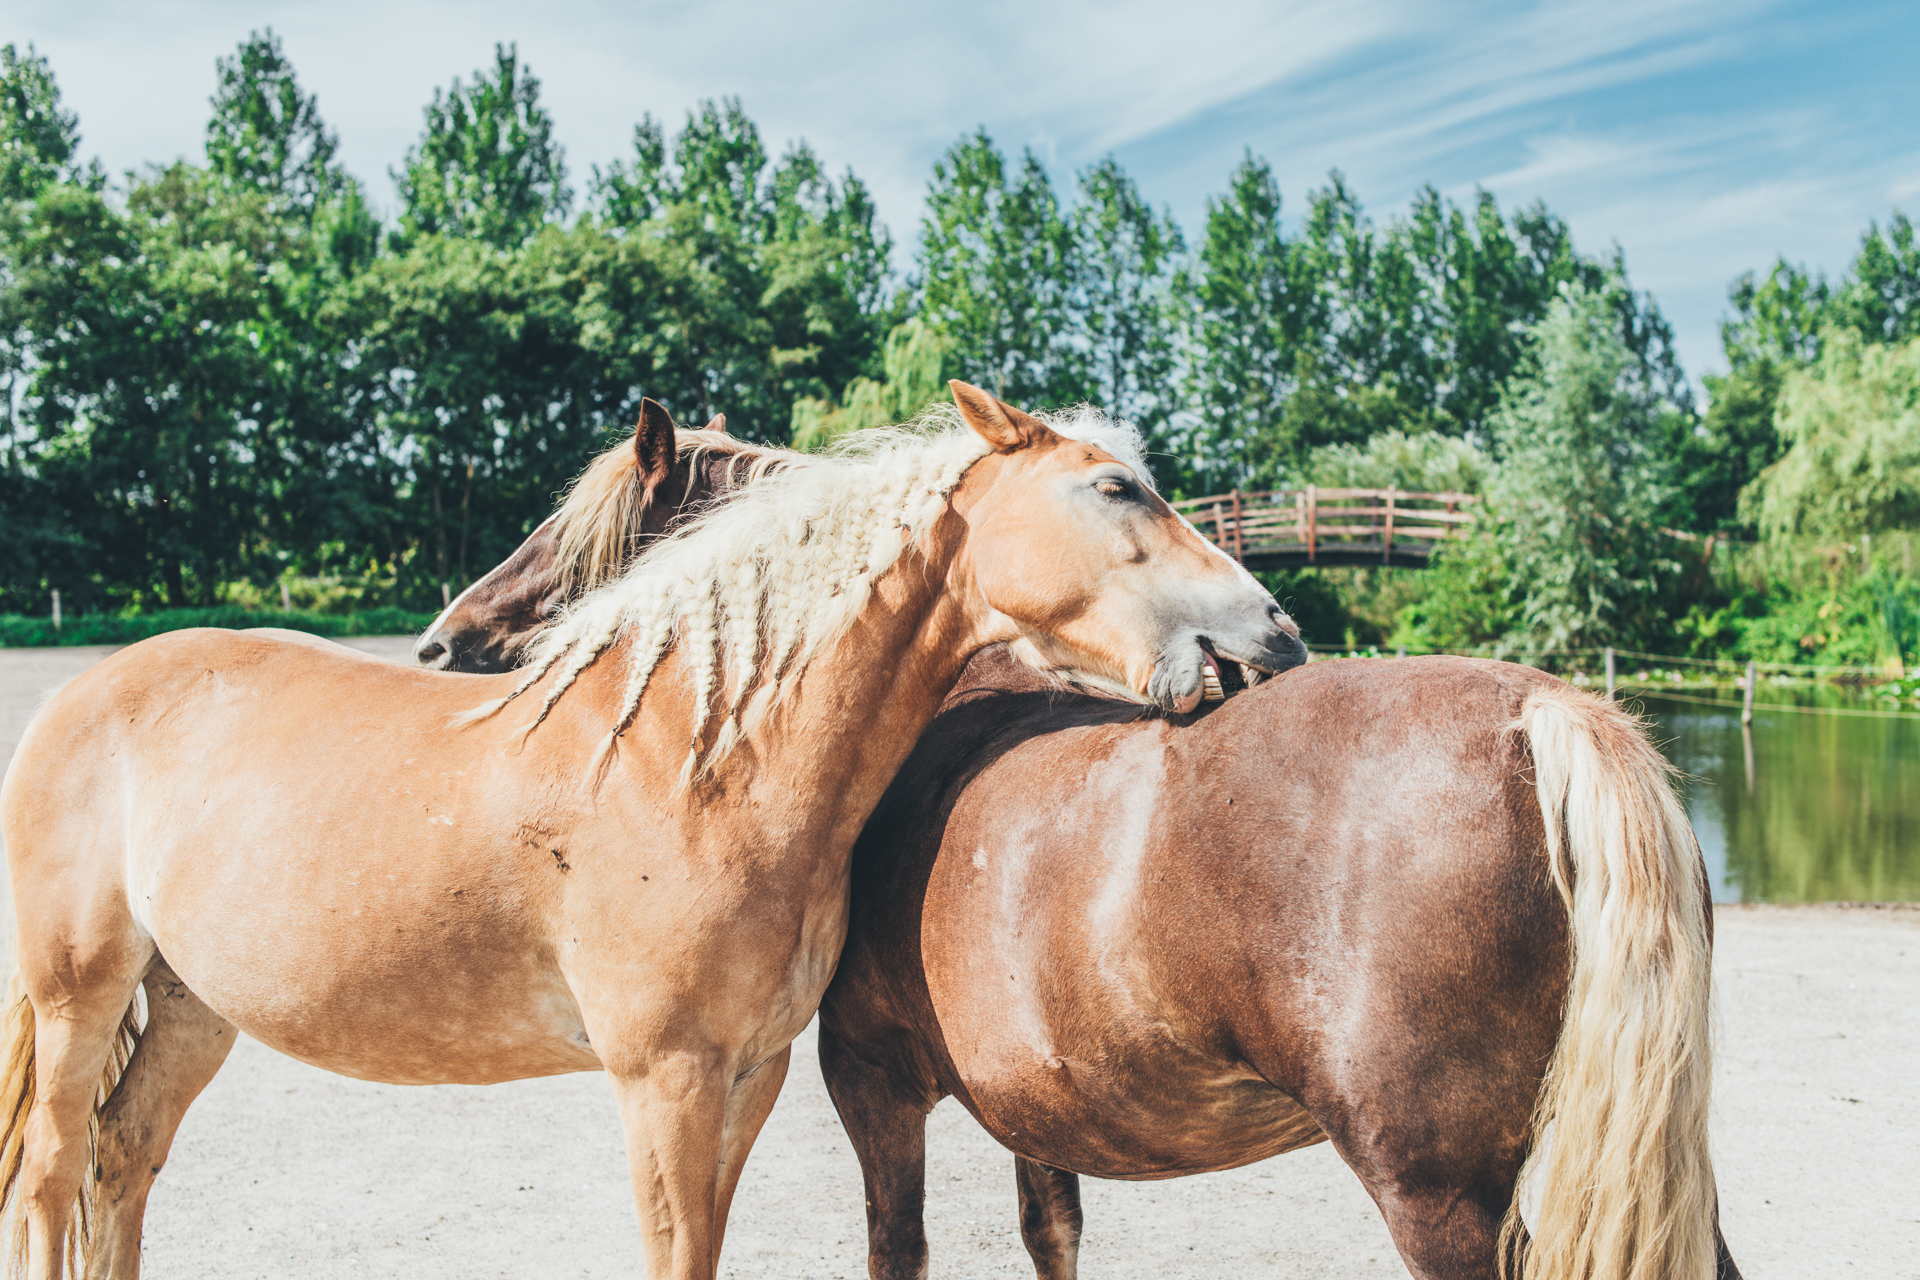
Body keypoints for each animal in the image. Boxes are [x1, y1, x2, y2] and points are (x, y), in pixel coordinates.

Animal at [0, 385, 1305, 1280]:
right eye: (1115, 490)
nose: (1279, 636)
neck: (697, 759)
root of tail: (88, 691)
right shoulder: (664, 1081)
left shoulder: (748, 1074)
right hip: (76, 998)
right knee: (49, 1176)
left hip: (187, 1007)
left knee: (120, 1162)